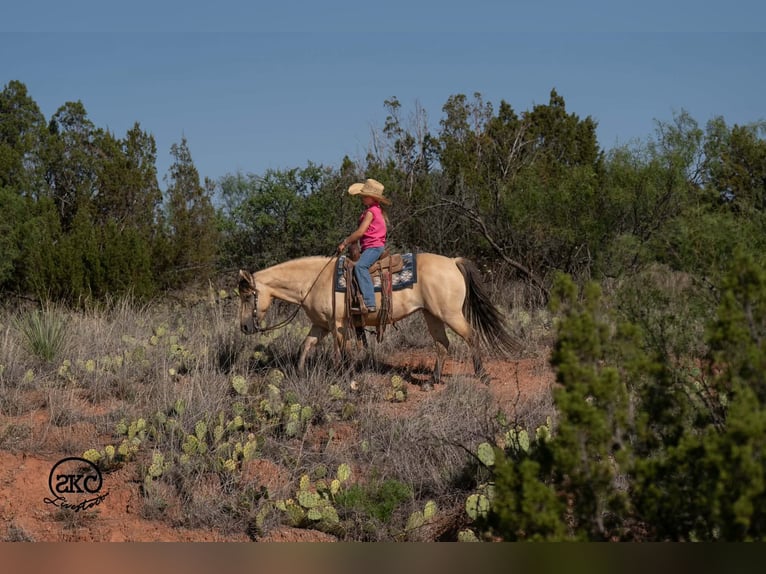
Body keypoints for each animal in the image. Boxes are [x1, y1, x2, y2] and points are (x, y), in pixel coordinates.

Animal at [238, 253, 520, 387]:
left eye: (247, 295)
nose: (244, 326)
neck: (314, 280)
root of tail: (452, 261)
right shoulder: (321, 325)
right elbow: (305, 346)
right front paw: (298, 373)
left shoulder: (338, 325)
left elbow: (342, 353)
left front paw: (345, 377)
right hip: (432, 315)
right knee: (442, 345)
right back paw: (432, 381)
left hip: (449, 314)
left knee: (471, 336)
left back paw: (482, 375)